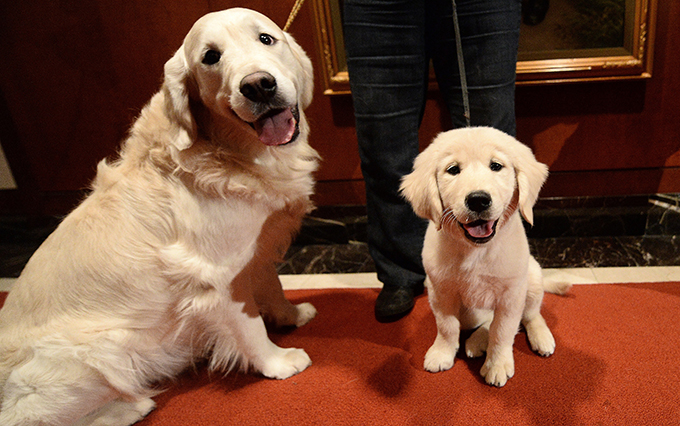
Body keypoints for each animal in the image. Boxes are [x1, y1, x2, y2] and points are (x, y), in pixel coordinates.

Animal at [0, 7, 318, 426]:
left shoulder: (256, 250)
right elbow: (249, 326)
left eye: (266, 39)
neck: (229, 151)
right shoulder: (218, 276)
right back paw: (129, 407)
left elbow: (273, 285)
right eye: (210, 57)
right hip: (101, 352)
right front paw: (277, 362)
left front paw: (291, 314)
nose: (258, 86)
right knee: (27, 417)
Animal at [402, 126, 572, 386]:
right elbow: (447, 326)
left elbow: (502, 331)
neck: (477, 252)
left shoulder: (511, 295)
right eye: (453, 170)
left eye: (496, 166)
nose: (478, 199)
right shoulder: (440, 291)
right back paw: (477, 341)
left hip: (532, 278)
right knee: (485, 320)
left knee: (531, 315)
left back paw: (540, 337)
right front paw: (442, 353)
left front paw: (497, 364)